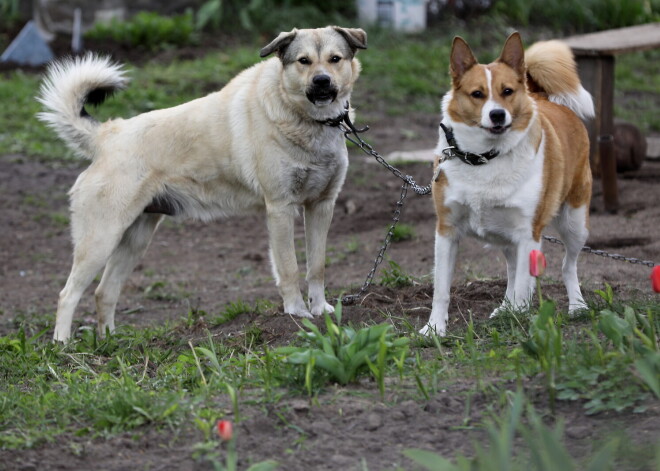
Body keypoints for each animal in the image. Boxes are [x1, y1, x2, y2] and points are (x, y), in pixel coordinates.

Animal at [37, 25, 366, 342]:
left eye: (335, 59)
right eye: (303, 61)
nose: (322, 81)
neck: (308, 121)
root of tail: (107, 135)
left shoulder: (321, 206)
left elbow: (317, 266)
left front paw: (321, 310)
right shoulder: (280, 209)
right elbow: (289, 268)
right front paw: (297, 314)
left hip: (135, 241)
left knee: (104, 292)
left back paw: (110, 343)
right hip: (101, 240)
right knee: (68, 294)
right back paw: (62, 346)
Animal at [420, 33, 596, 336]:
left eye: (508, 91)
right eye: (477, 94)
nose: (498, 115)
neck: (484, 157)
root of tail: (543, 96)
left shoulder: (528, 233)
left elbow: (526, 286)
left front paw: (523, 324)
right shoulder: (446, 230)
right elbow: (441, 289)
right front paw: (434, 329)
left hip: (575, 222)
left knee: (567, 266)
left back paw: (577, 306)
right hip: (504, 234)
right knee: (513, 270)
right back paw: (505, 307)